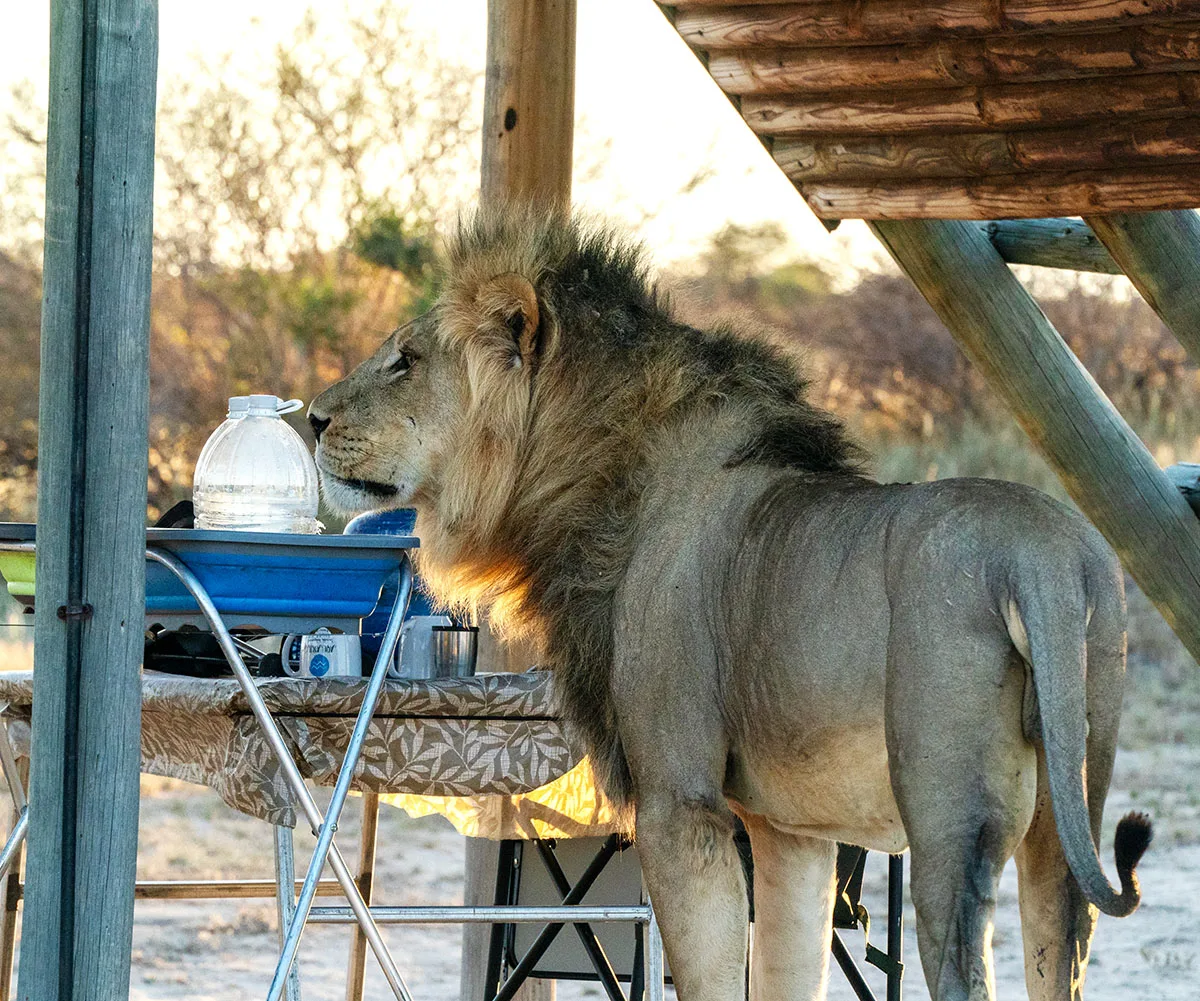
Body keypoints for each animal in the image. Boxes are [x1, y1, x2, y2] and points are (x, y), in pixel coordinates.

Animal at [309, 208, 1152, 1001]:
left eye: (407, 360)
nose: (312, 418)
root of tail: (1045, 554)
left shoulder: (681, 802)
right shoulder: (791, 830)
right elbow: (785, 972)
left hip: (948, 820)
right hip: (1065, 820)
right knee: (1060, 947)